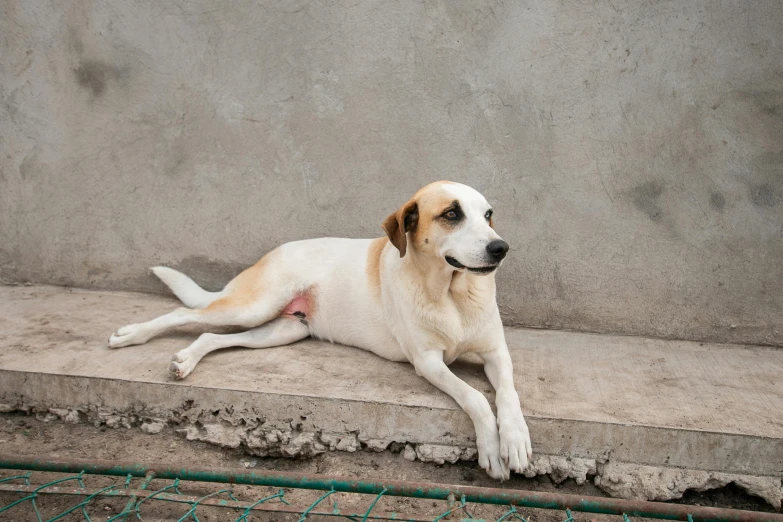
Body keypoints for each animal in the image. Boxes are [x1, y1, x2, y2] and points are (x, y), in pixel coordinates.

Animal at [110, 181, 532, 478]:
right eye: (451, 213)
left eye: (488, 214)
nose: (502, 248)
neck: (452, 295)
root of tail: (274, 251)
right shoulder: (427, 362)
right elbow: (476, 398)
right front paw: (492, 448)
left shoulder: (497, 353)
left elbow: (507, 394)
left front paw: (515, 440)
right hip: (254, 307)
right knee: (183, 313)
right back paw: (130, 335)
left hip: (281, 331)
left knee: (211, 336)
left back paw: (186, 359)